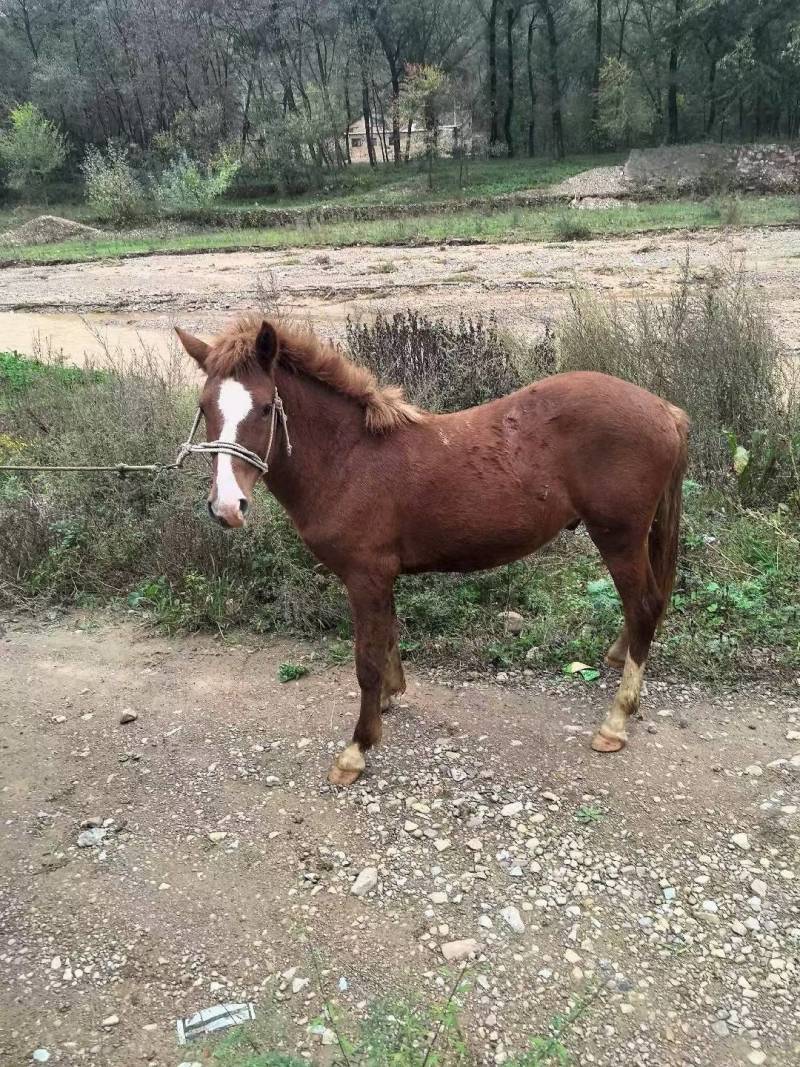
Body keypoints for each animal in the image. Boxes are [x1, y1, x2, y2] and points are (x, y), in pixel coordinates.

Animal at [175, 316, 689, 786]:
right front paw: (389, 698)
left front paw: (357, 748)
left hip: (619, 537)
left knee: (643, 606)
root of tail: (665, 410)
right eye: (204, 407)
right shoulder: (380, 577)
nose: (227, 507)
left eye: (265, 408)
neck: (349, 459)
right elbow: (388, 639)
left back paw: (616, 721)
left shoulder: (365, 576)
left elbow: (365, 659)